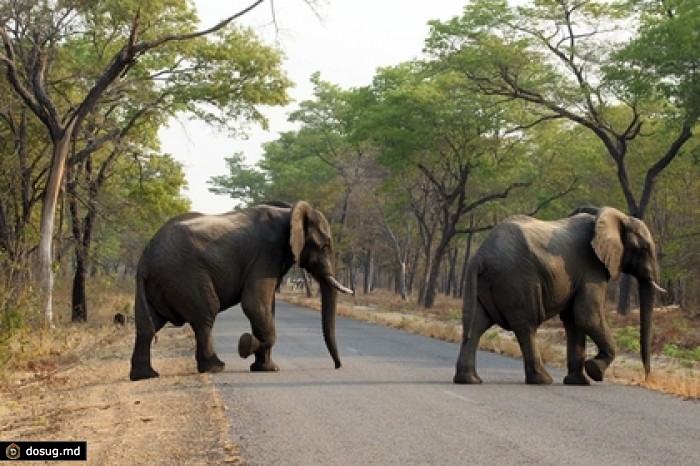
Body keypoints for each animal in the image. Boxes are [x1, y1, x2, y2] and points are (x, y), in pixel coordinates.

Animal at [129, 201, 352, 382]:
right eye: (324, 245)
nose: (337, 366)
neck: (289, 212)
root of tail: (145, 259)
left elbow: (266, 307)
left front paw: (266, 368)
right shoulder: (266, 255)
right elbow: (254, 304)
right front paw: (245, 345)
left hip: (159, 283)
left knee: (148, 325)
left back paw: (145, 376)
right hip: (185, 276)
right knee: (205, 316)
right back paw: (216, 368)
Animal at [452, 208, 664, 386]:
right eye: (643, 249)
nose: (646, 377)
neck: (616, 217)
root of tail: (480, 256)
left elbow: (574, 320)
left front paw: (579, 382)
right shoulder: (592, 269)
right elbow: (587, 316)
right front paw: (594, 371)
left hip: (487, 282)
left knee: (476, 324)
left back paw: (469, 380)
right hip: (517, 280)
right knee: (526, 326)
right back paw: (542, 380)